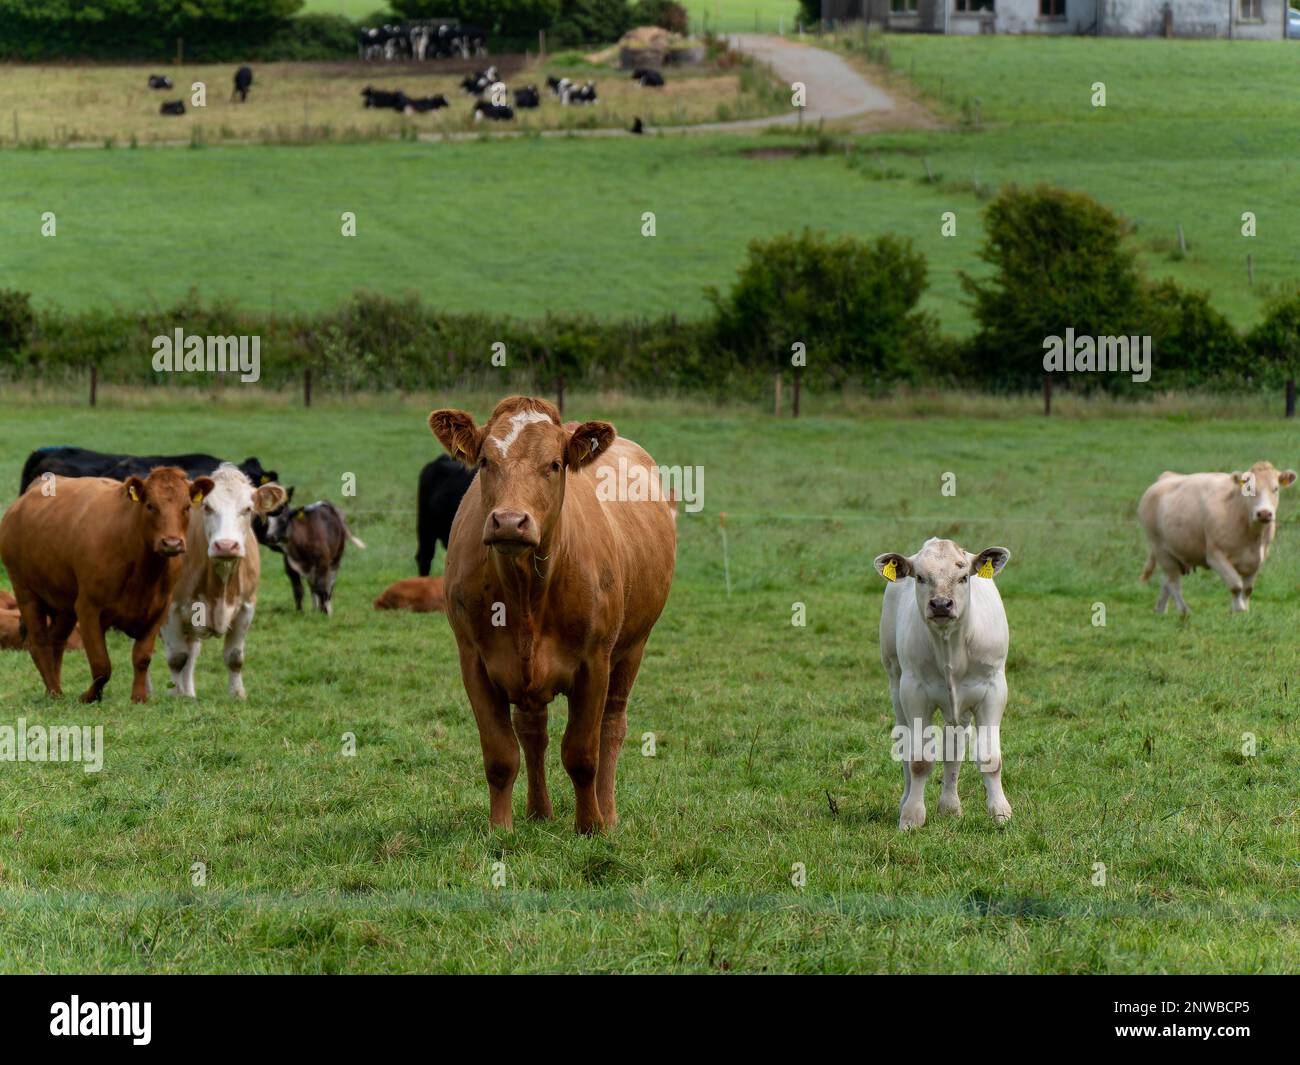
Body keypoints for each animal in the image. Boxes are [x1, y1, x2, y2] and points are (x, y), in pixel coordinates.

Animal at [0, 467, 212, 703]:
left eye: (186, 507)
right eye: (150, 506)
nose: (172, 543)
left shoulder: (159, 610)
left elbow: (142, 657)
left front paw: (139, 698)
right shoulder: (88, 608)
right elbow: (101, 664)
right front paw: (89, 696)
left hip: (63, 605)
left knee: (56, 642)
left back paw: (54, 689)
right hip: (26, 593)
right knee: (39, 644)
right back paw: (54, 692)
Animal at [160, 465, 286, 698]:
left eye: (247, 509)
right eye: (207, 507)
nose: (226, 545)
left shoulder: (246, 607)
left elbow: (234, 657)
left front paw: (237, 694)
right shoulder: (170, 608)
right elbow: (176, 658)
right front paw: (174, 694)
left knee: (192, 652)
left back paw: (189, 694)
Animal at [429, 396, 677, 834]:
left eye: (555, 464)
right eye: (485, 461)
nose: (510, 521)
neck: (525, 590)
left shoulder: (595, 663)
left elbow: (582, 753)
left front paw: (591, 826)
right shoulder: (473, 662)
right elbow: (500, 755)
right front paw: (500, 829)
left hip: (633, 647)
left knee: (612, 727)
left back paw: (608, 812)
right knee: (533, 732)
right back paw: (538, 811)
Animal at [874, 538, 1014, 830]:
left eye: (963, 577)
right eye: (919, 577)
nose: (940, 604)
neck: (951, 646)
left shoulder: (994, 688)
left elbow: (989, 757)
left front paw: (1001, 813)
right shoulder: (913, 690)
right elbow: (918, 760)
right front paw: (912, 816)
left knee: (954, 746)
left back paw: (950, 807)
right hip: (895, 679)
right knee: (905, 741)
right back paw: (908, 800)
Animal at [1139, 461, 1296, 614]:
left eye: (1275, 489)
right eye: (1249, 488)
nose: (1264, 513)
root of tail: (1165, 477)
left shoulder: (1257, 560)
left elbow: (1247, 589)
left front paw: (1244, 610)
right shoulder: (1215, 556)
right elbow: (1236, 586)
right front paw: (1238, 610)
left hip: (1174, 553)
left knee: (1165, 581)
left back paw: (1161, 610)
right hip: (1161, 550)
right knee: (1173, 583)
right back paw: (1184, 610)